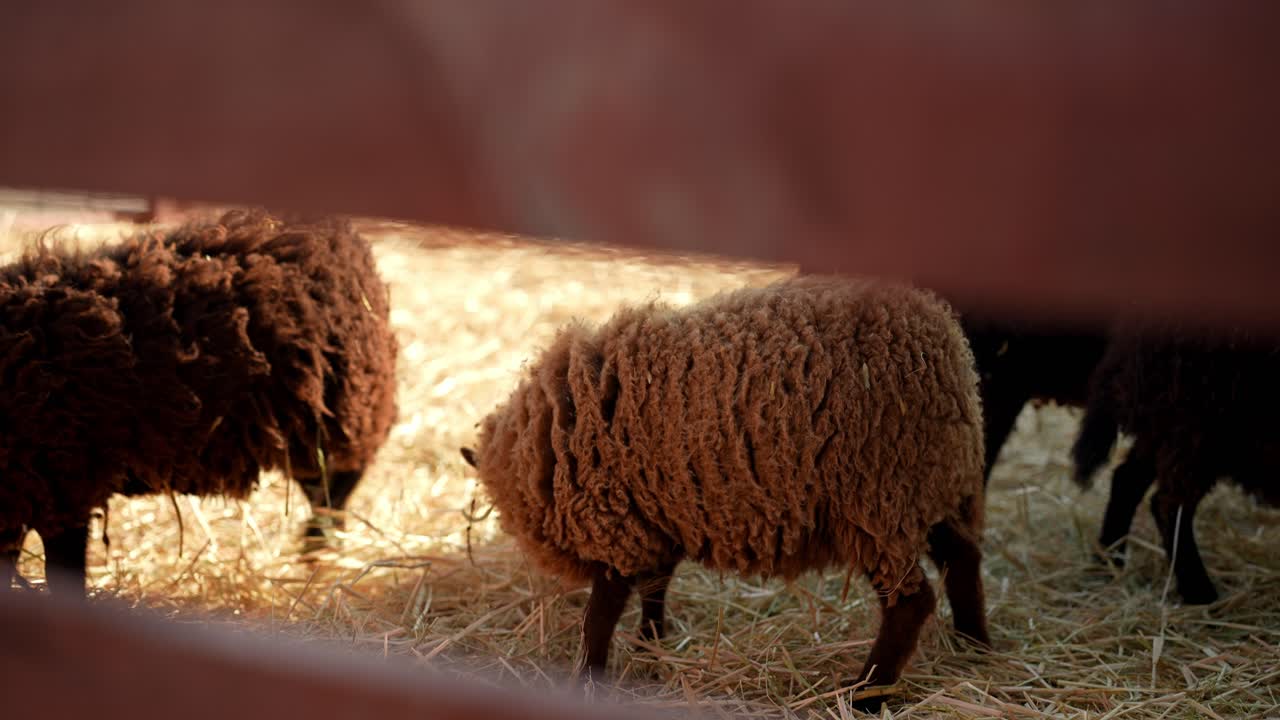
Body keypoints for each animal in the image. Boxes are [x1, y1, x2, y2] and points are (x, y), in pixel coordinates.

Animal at [461, 275, 990, 706]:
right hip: (931, 490)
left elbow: (600, 615)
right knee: (963, 558)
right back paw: (975, 646)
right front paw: (650, 645)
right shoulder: (657, 515)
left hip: (876, 502)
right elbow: (655, 588)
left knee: (910, 603)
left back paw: (866, 693)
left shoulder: (618, 525)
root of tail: (943, 346)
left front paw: (589, 677)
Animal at [1072, 322, 1280, 604]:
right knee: (1168, 504)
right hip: (1197, 418)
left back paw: (1107, 564)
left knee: (1127, 480)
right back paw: (1201, 594)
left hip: (1165, 419)